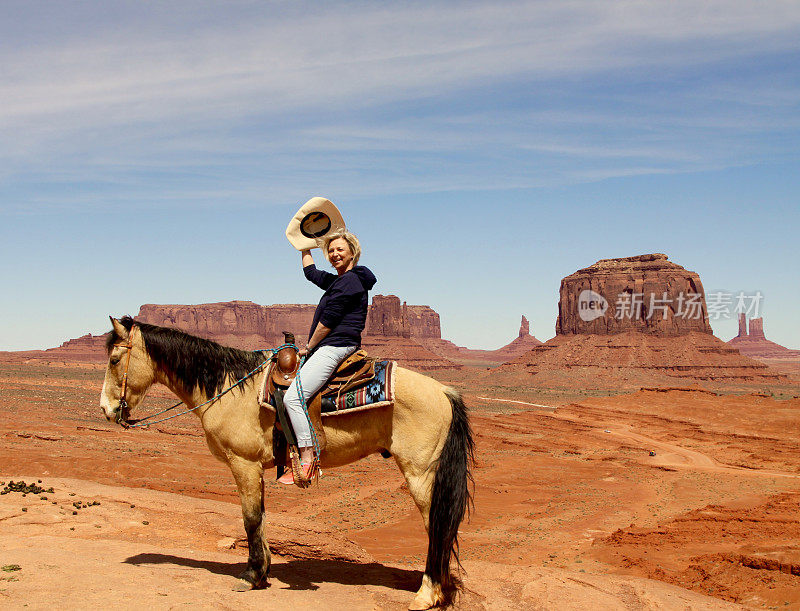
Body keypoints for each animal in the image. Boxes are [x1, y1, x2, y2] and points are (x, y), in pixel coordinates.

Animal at [100, 318, 476, 608]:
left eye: (116, 359)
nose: (106, 409)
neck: (229, 388)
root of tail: (446, 392)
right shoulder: (254, 468)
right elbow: (262, 518)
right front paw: (264, 571)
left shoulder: (244, 463)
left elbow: (250, 518)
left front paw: (250, 575)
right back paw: (441, 592)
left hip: (421, 473)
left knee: (437, 528)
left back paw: (426, 595)